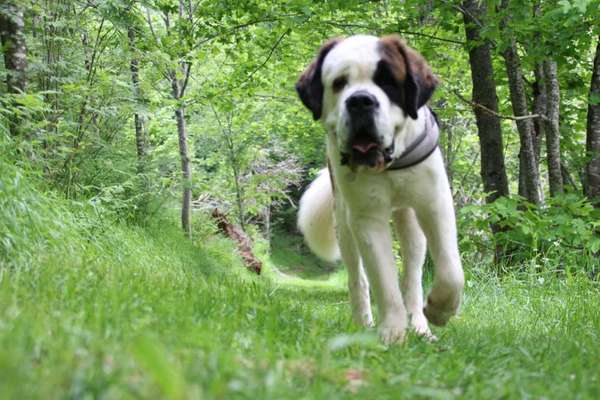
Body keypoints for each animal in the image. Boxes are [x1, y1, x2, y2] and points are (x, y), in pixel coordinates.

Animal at [296, 35, 464, 344]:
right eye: (339, 83)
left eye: (387, 81)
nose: (360, 101)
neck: (390, 164)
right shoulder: (366, 218)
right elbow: (383, 280)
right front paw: (392, 334)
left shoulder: (434, 202)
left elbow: (450, 270)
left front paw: (440, 310)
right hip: (344, 226)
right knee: (357, 278)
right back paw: (363, 323)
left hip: (411, 224)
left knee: (412, 274)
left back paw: (420, 326)